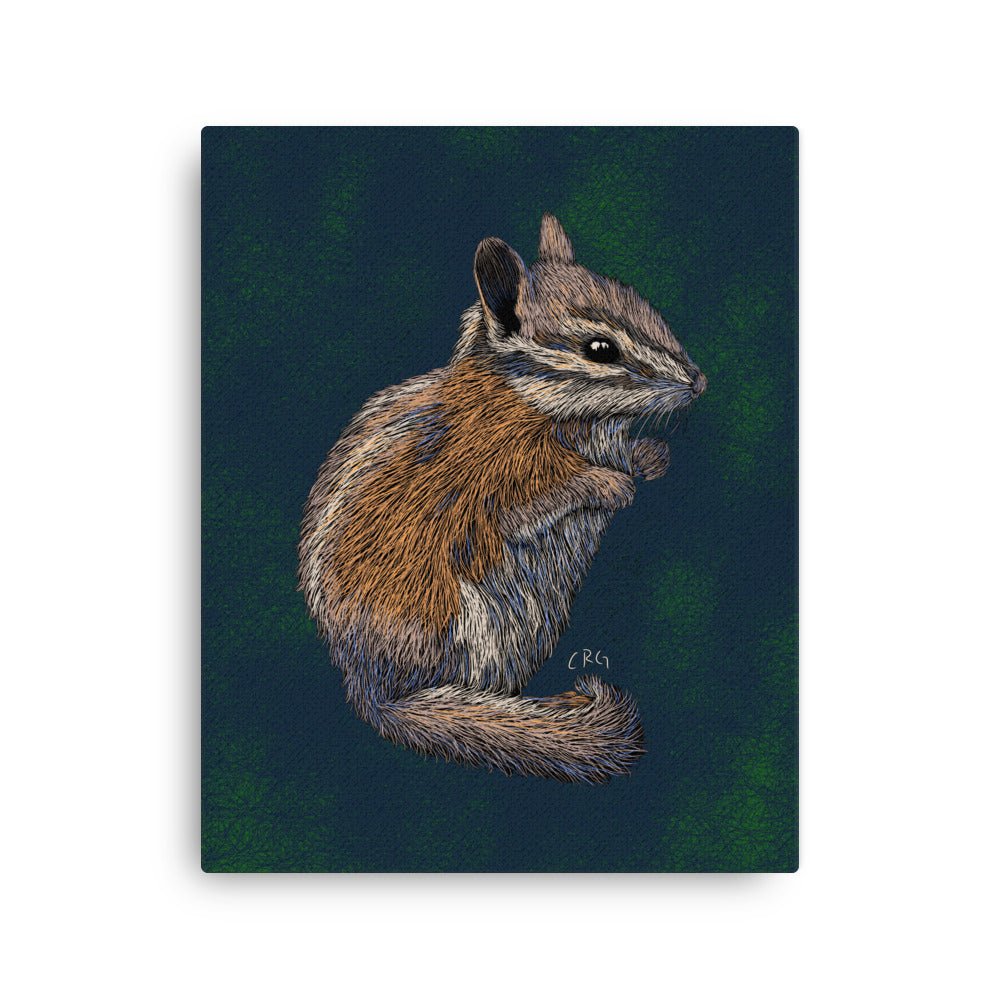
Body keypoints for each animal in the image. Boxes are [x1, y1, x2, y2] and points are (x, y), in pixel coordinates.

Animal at [298, 213, 706, 784]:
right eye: (601, 349)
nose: (699, 381)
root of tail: (374, 690)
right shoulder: (495, 485)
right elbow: (532, 506)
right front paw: (610, 484)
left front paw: (650, 457)